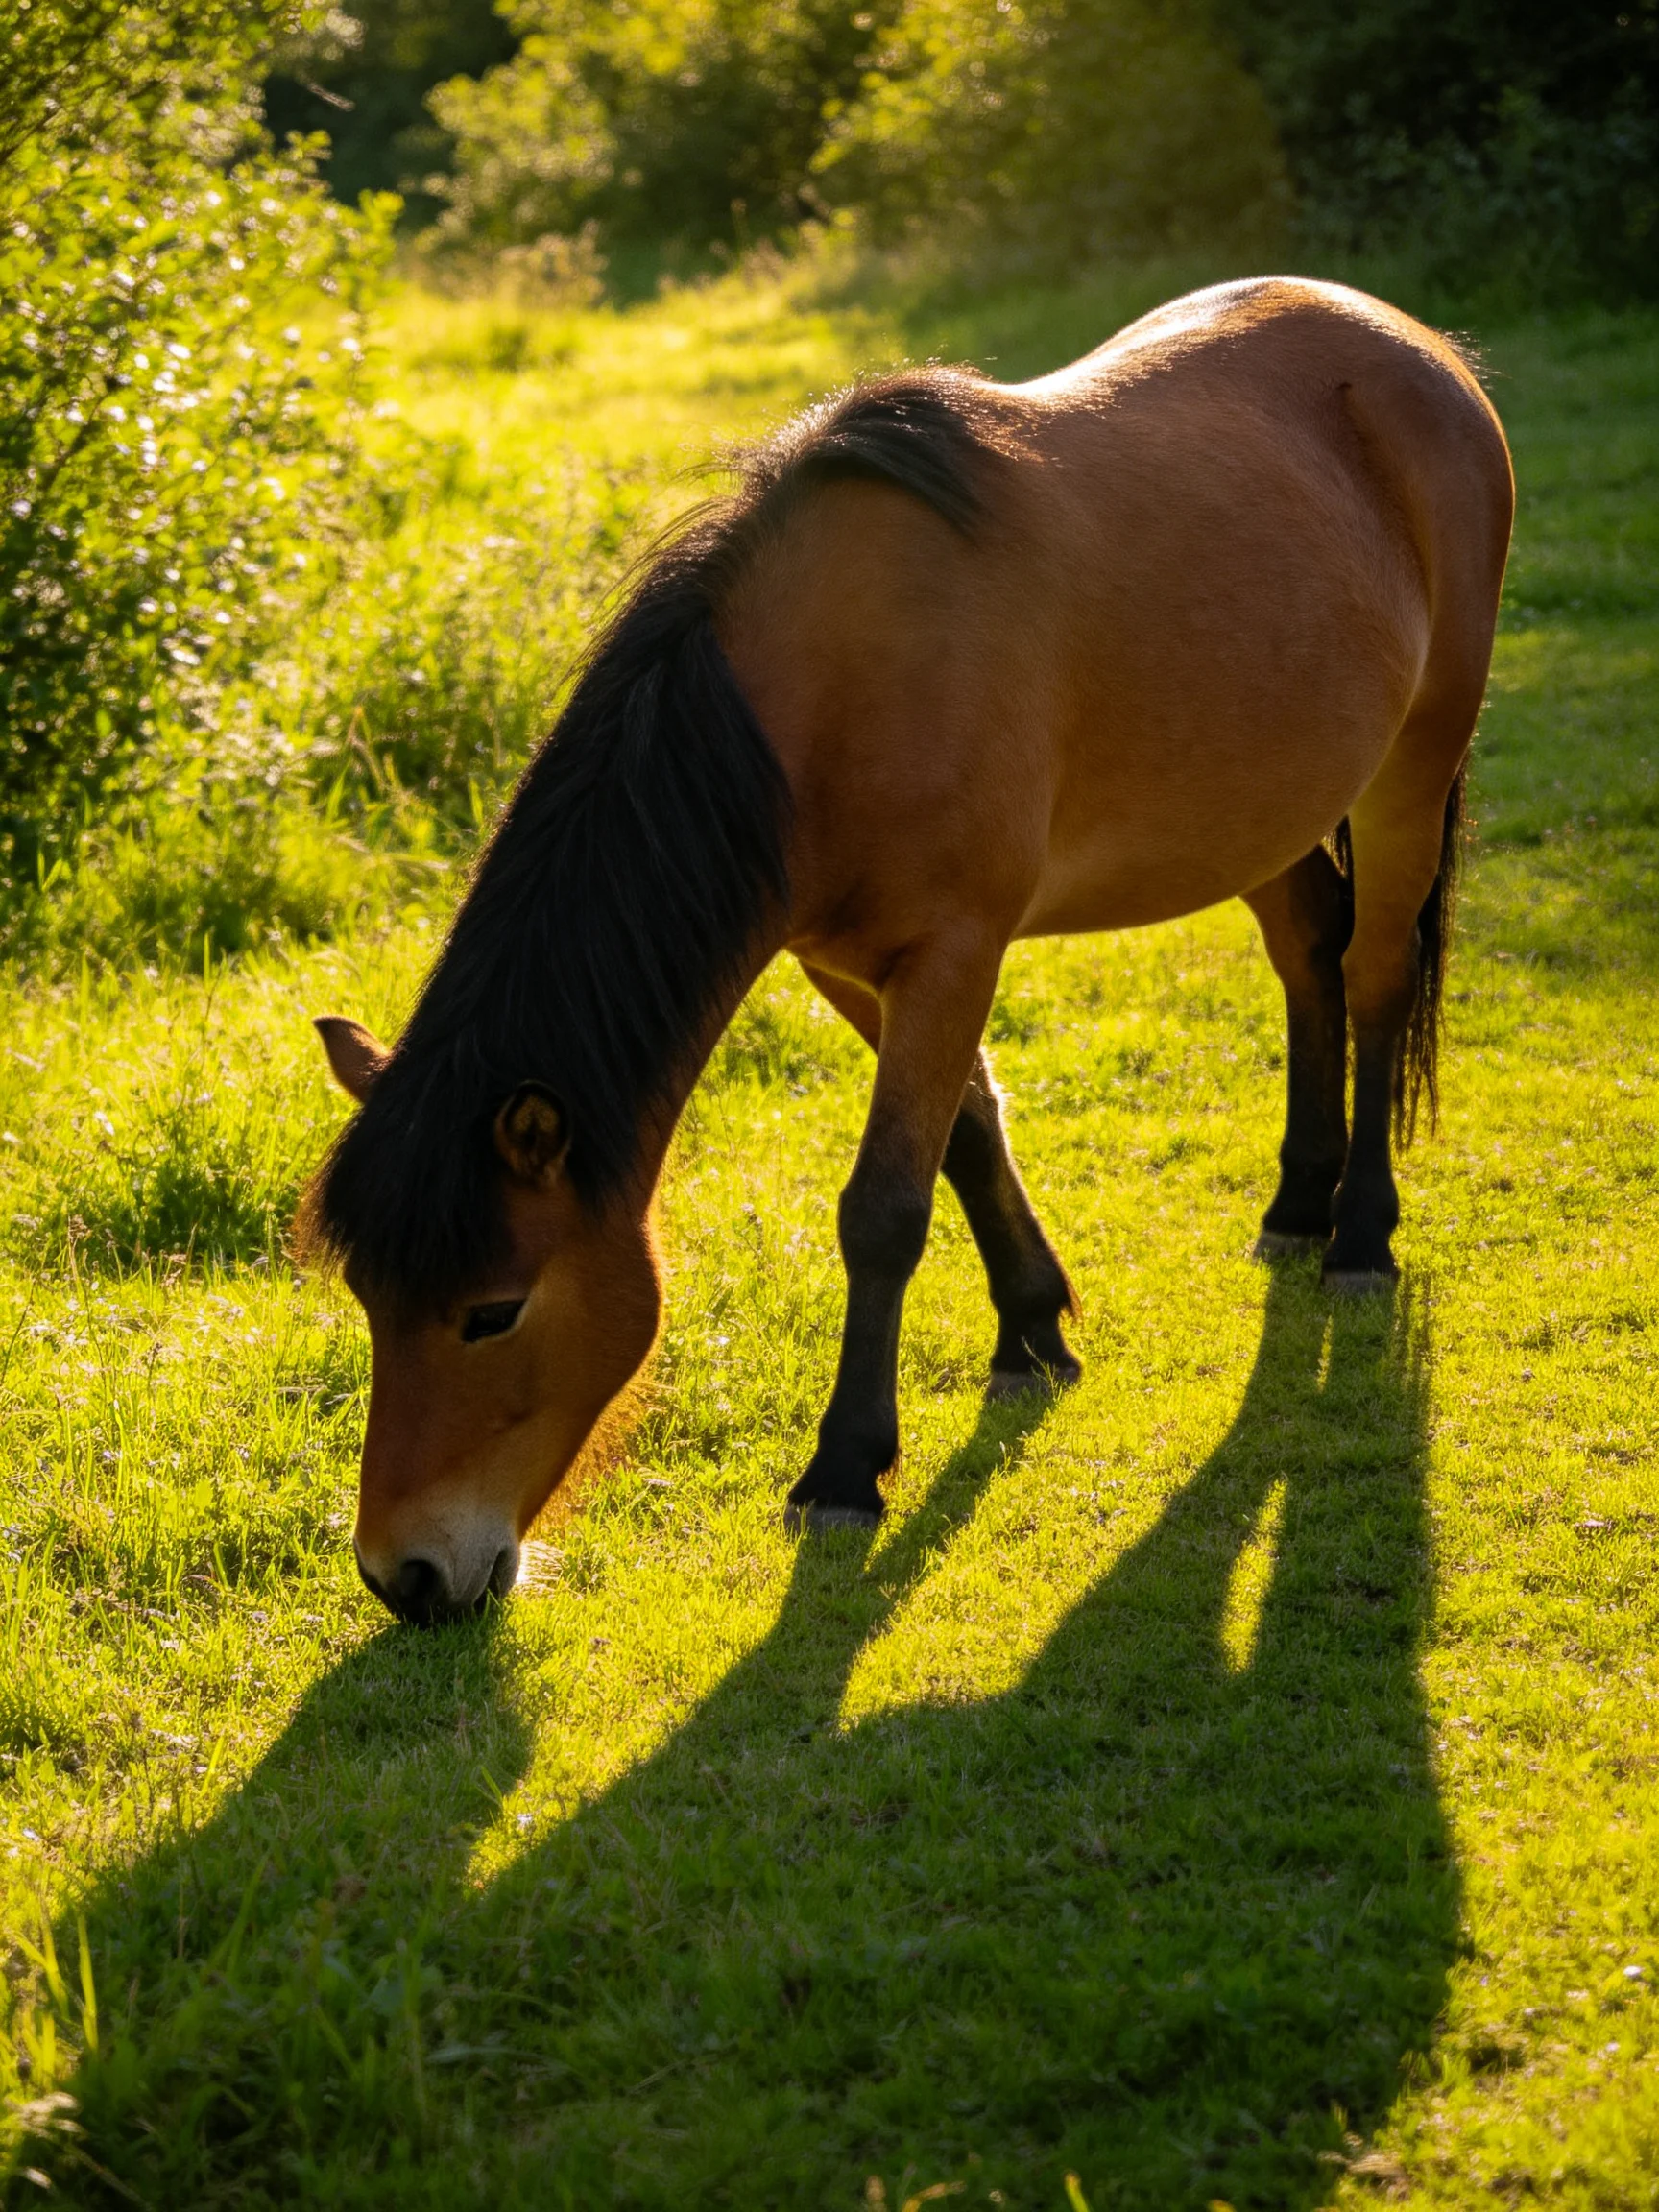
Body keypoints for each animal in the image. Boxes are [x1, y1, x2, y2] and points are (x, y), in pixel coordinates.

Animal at [300, 276, 1513, 1627]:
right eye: (368, 1297)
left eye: (492, 1312)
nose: (406, 1576)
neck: (820, 699)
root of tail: (1415, 349)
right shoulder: (848, 963)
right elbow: (968, 1127)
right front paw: (1032, 1328)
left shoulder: (952, 951)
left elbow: (883, 1205)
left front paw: (845, 1468)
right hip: (1268, 806)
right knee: (1308, 957)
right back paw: (1299, 1206)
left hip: (1412, 764)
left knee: (1372, 978)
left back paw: (1357, 1234)